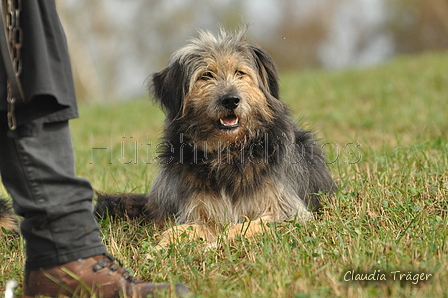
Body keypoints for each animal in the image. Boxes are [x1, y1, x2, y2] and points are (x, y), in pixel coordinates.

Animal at [97, 28, 336, 244]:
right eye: (206, 75)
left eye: (240, 72)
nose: (230, 100)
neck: (229, 152)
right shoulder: (196, 210)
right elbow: (181, 229)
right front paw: (159, 248)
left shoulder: (287, 210)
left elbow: (250, 224)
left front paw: (225, 237)